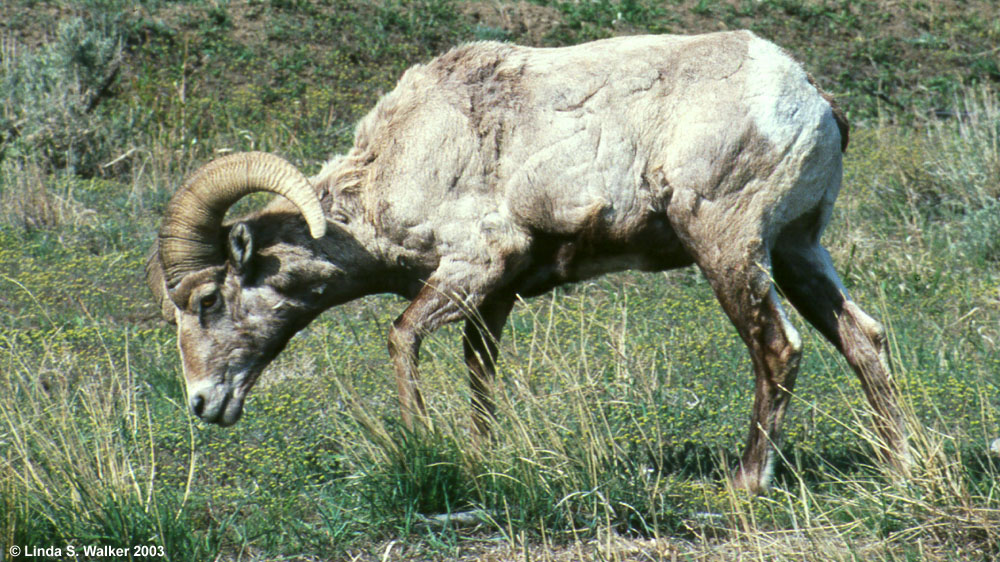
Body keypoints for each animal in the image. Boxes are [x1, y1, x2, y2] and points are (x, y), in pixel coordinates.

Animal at [146, 31, 908, 490]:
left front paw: (426, 448)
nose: (203, 403)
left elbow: (402, 336)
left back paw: (747, 481)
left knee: (778, 348)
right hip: (798, 250)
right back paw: (897, 465)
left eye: (208, 300)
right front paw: (482, 456)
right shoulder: (496, 298)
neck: (403, 159)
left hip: (729, 247)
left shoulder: (474, 266)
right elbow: (479, 373)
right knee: (863, 338)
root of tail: (810, 97)